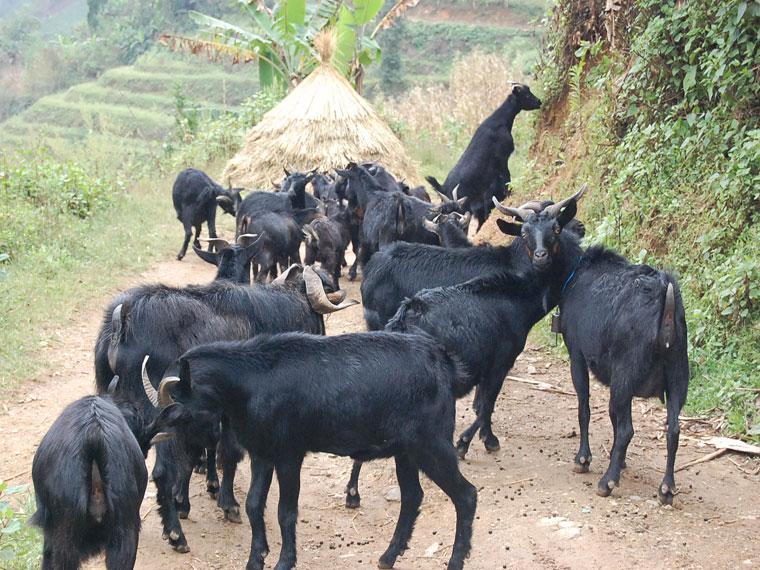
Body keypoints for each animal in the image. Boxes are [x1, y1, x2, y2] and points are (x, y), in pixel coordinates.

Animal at [153, 330, 476, 568]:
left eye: (178, 409)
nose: (159, 436)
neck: (252, 382)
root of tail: (445, 364)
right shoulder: (262, 453)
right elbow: (254, 505)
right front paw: (255, 559)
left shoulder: (289, 454)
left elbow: (285, 511)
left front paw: (284, 562)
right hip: (406, 450)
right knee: (412, 496)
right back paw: (388, 556)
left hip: (431, 444)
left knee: (466, 495)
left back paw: (454, 561)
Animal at [428, 83, 540, 230]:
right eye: (526, 95)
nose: (539, 102)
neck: (500, 121)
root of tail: (442, 187)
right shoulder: (502, 159)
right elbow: (507, 177)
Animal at [556, 244, 692, 502]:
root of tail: (667, 308)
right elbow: (612, 414)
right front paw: (619, 460)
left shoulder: (577, 355)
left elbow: (584, 408)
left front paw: (583, 459)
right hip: (678, 376)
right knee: (673, 429)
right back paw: (666, 489)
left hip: (626, 373)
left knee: (627, 429)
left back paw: (606, 482)